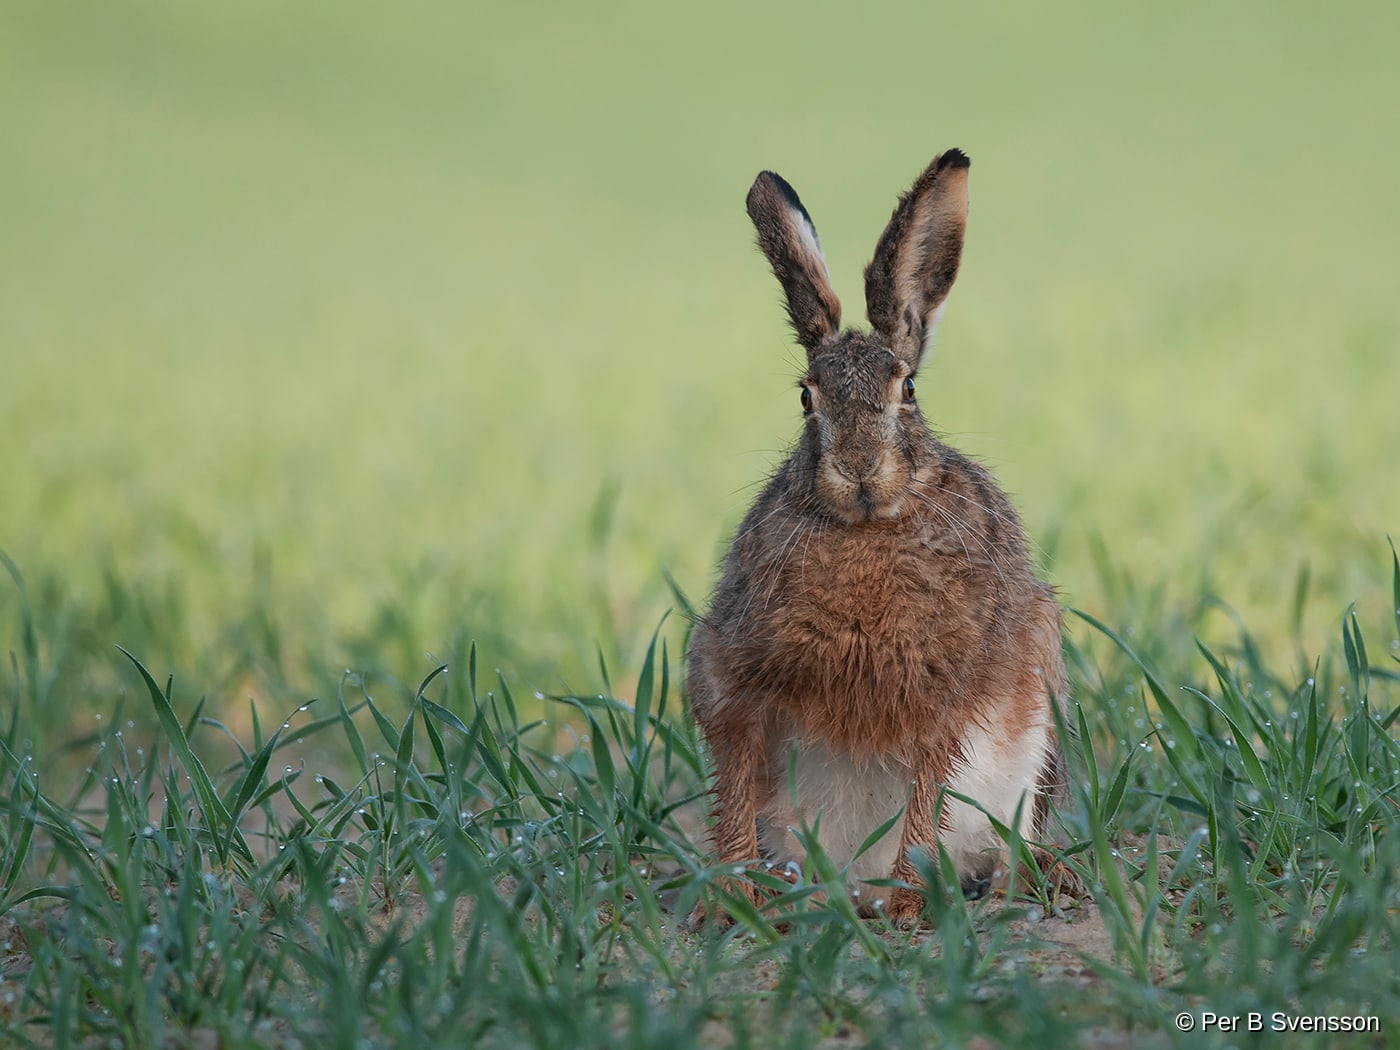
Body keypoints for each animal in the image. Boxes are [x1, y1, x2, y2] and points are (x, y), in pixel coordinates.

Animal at [686, 149, 1072, 929]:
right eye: (806, 396)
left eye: (909, 390)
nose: (860, 466)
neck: (866, 529)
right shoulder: (729, 676)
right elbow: (734, 782)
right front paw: (732, 895)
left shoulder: (946, 697)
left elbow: (927, 794)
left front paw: (908, 904)